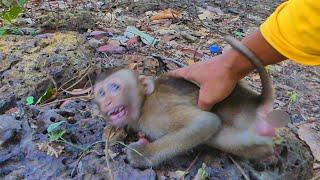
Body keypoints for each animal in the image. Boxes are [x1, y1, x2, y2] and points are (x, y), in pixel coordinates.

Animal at [94, 36, 288, 169]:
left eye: (115, 87)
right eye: (101, 93)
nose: (107, 102)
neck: (143, 104)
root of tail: (256, 101)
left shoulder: (156, 112)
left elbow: (206, 122)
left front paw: (142, 154)